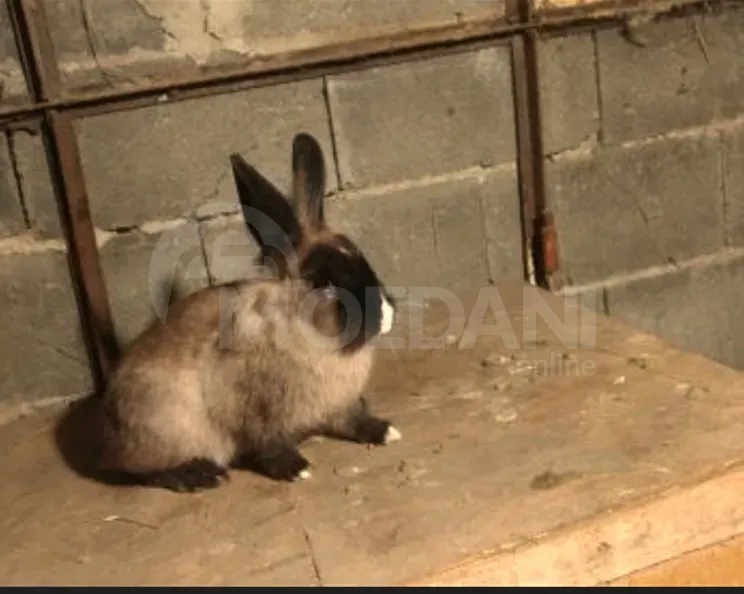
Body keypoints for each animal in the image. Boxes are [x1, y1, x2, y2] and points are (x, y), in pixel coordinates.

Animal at [98, 132, 400, 493]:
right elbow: (269, 445)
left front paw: (385, 431)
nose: (386, 314)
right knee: (149, 472)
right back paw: (202, 474)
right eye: (322, 282)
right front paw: (296, 468)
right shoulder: (257, 416)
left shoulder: (341, 405)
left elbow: (354, 420)